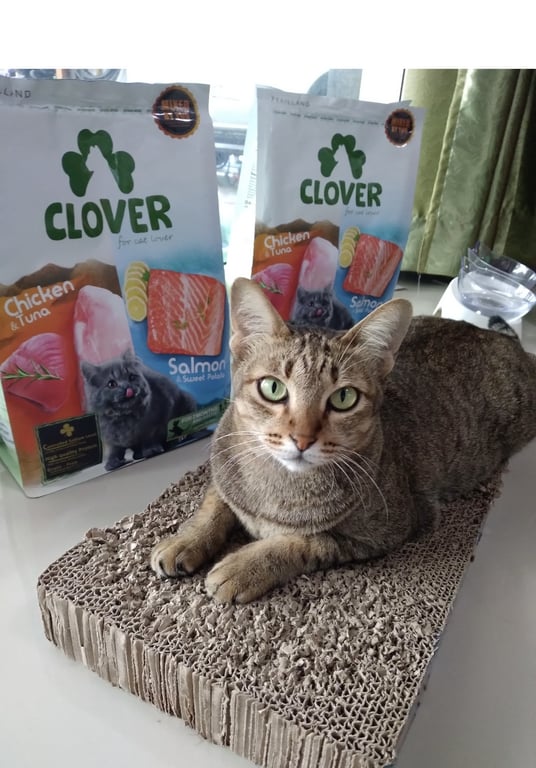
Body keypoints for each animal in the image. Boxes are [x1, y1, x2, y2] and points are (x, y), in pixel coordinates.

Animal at [150, 277, 536, 603]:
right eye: (272, 388)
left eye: (344, 398)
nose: (302, 438)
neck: (277, 488)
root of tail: (506, 341)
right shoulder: (223, 474)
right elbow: (213, 506)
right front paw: (184, 540)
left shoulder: (387, 530)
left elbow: (304, 542)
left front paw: (244, 566)